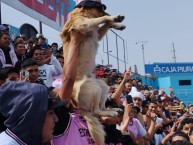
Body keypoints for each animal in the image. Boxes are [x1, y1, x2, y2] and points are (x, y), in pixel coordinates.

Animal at [61, 1, 126, 145]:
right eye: (101, 8)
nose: (118, 17)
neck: (82, 13)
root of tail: (76, 104)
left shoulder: (96, 32)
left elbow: (102, 25)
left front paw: (117, 25)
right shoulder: (80, 25)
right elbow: (100, 19)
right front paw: (113, 18)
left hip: (102, 86)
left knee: (101, 108)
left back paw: (113, 110)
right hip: (93, 87)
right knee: (95, 111)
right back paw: (110, 113)